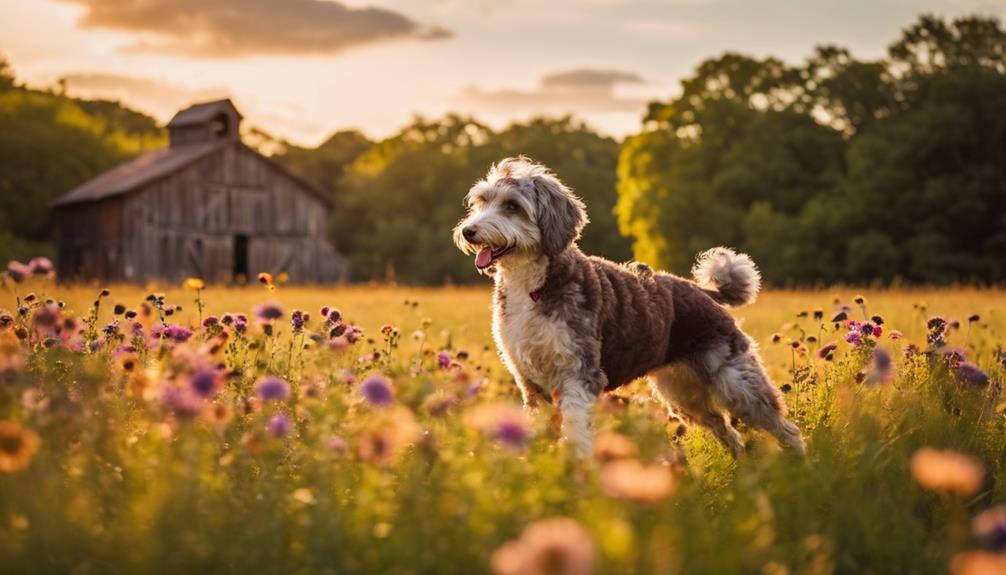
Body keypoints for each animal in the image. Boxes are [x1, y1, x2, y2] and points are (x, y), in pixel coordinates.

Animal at [456, 156, 808, 458]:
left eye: (512, 206)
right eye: (482, 201)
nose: (468, 231)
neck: (531, 287)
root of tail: (700, 290)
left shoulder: (579, 375)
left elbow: (577, 434)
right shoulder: (530, 381)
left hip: (737, 383)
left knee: (784, 427)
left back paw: (801, 467)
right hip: (683, 394)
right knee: (727, 431)